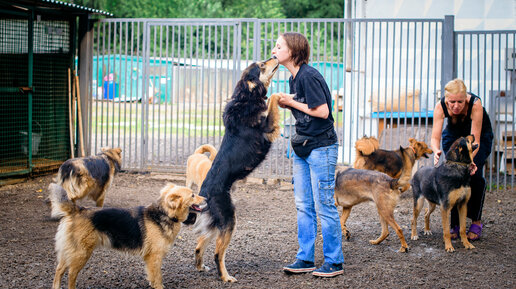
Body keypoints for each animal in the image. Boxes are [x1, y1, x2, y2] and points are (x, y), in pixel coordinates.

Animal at [50, 182, 206, 288]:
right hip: (81, 253)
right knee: (71, 275)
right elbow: (157, 277)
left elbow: (152, 276)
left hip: (70, 252)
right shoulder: (154, 257)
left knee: (59, 271)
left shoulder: (151, 258)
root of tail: (77, 209)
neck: (165, 213)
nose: (206, 199)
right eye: (193, 195)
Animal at [183, 56, 280, 282]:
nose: (275, 56)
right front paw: (283, 95)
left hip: (216, 222)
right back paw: (226, 277)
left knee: (199, 245)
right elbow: (272, 100)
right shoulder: (267, 127)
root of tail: (202, 193)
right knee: (218, 253)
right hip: (228, 219)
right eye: (262, 65)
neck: (246, 97)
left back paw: (201, 267)